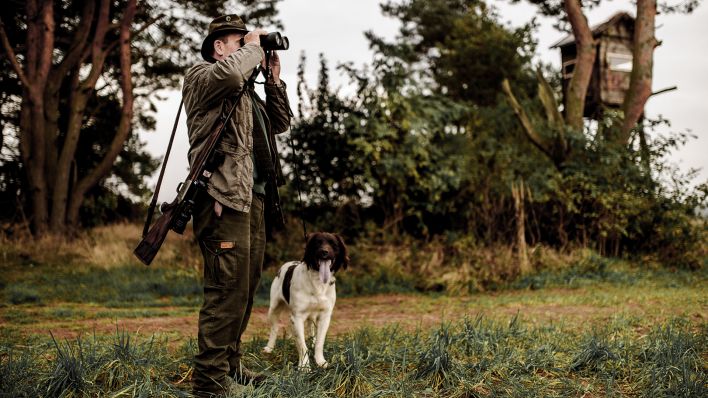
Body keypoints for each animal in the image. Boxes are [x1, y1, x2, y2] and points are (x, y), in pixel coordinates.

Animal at [262, 233, 348, 366]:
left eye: (333, 244)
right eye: (317, 243)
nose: (324, 252)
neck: (317, 282)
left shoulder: (325, 316)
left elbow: (319, 342)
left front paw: (320, 361)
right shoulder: (297, 317)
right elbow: (302, 345)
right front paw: (304, 366)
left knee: (311, 328)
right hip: (273, 308)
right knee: (274, 328)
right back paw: (269, 348)